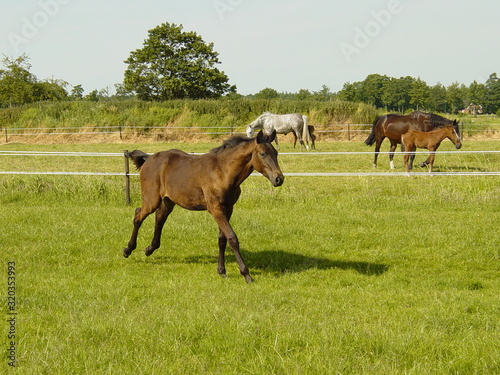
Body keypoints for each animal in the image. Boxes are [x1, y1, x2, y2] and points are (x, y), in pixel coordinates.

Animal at [123, 131, 284, 284]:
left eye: (276, 153)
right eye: (262, 154)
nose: (279, 179)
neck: (223, 172)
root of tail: (149, 158)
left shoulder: (228, 208)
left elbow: (222, 239)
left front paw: (222, 271)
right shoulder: (215, 208)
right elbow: (232, 238)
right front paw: (247, 275)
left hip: (168, 201)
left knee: (159, 219)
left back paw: (149, 249)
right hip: (152, 199)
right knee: (138, 215)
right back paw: (128, 249)